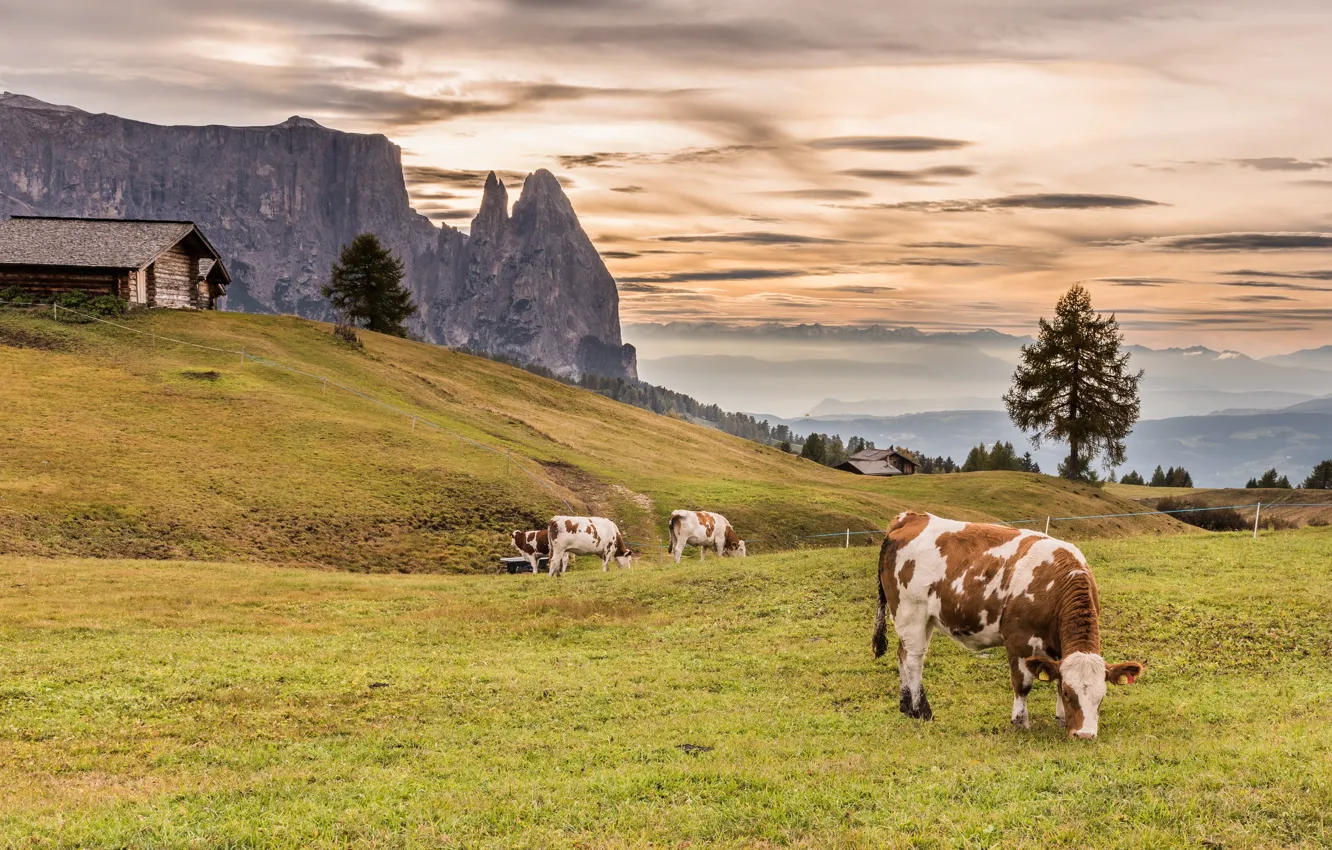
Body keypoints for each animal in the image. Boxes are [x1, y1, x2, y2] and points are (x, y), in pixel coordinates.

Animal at [872, 511, 1143, 739]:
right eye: (1070, 693)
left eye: (1102, 697)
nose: (1085, 734)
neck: (1057, 580)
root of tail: (911, 517)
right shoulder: (1018, 640)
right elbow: (1023, 685)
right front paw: (1021, 722)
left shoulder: (1057, 647)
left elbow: (1056, 675)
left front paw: (1062, 718)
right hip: (910, 611)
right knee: (914, 659)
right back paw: (921, 711)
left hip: (922, 618)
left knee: (903, 654)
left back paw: (906, 707)